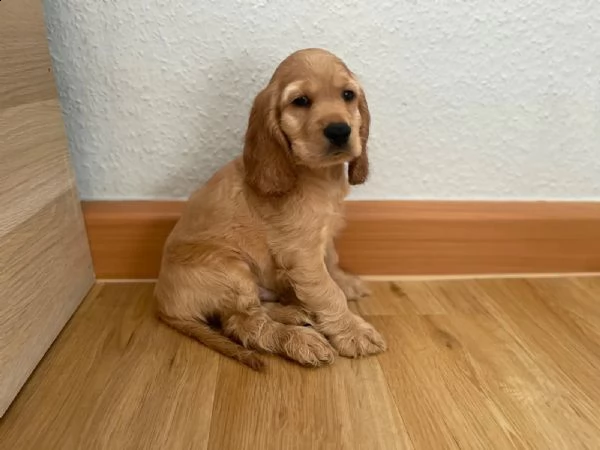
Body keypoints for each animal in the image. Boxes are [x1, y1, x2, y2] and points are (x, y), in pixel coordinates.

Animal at [155, 47, 386, 370]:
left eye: (348, 95)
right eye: (300, 101)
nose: (340, 131)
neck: (315, 174)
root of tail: (162, 302)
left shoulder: (323, 233)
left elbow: (331, 261)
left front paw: (345, 283)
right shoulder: (301, 253)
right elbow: (326, 292)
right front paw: (353, 331)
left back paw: (294, 312)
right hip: (230, 270)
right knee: (244, 323)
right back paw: (299, 340)